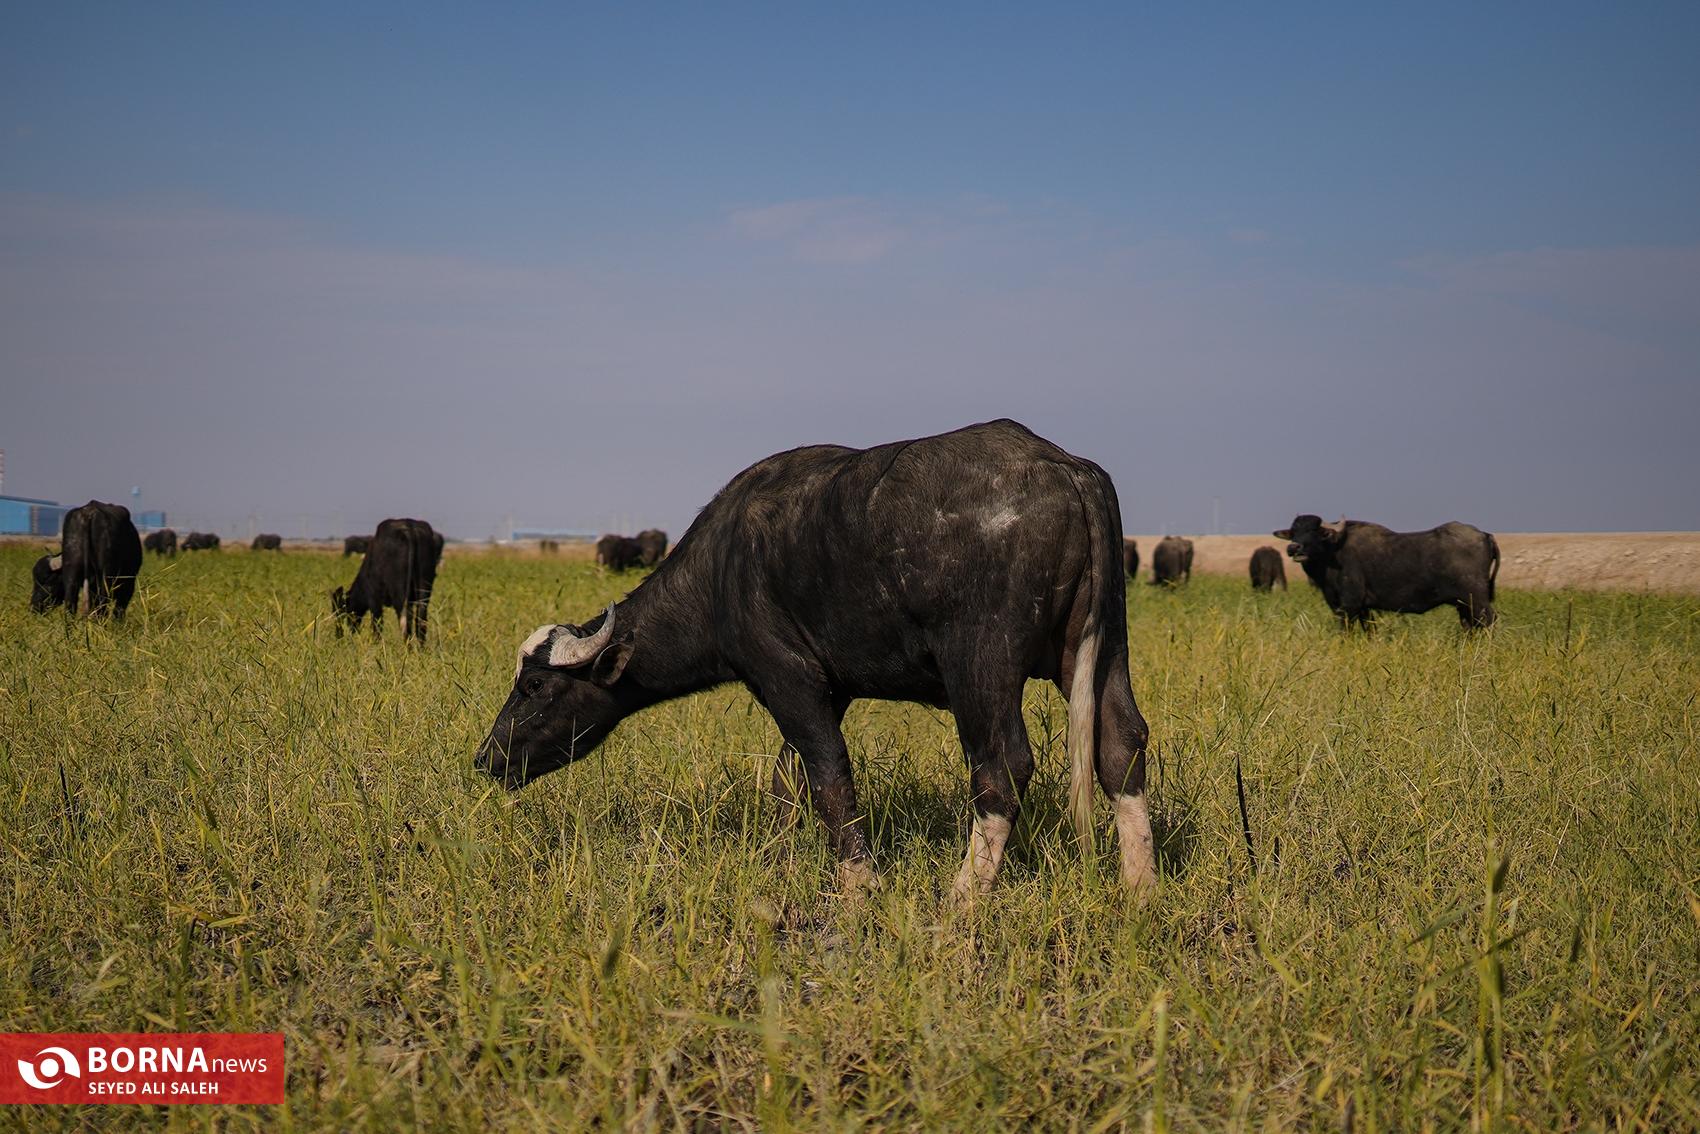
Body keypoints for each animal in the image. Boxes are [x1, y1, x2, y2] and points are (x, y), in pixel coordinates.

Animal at [486, 421, 1162, 897]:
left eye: (535, 687)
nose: (486, 758)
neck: (724, 570)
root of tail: (1064, 467)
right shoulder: (831, 692)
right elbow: (790, 779)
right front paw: (783, 857)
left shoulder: (789, 678)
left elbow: (829, 774)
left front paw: (860, 885)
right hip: (1103, 649)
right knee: (1121, 744)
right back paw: (1141, 889)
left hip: (982, 663)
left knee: (1001, 767)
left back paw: (962, 898)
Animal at [1278, 513, 1502, 629]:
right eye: (1294, 531)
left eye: (1315, 531)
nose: (1293, 548)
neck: (1334, 551)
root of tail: (1484, 535)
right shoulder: (1363, 608)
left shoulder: (1349, 606)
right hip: (1463, 604)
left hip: (1477, 600)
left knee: (1488, 621)